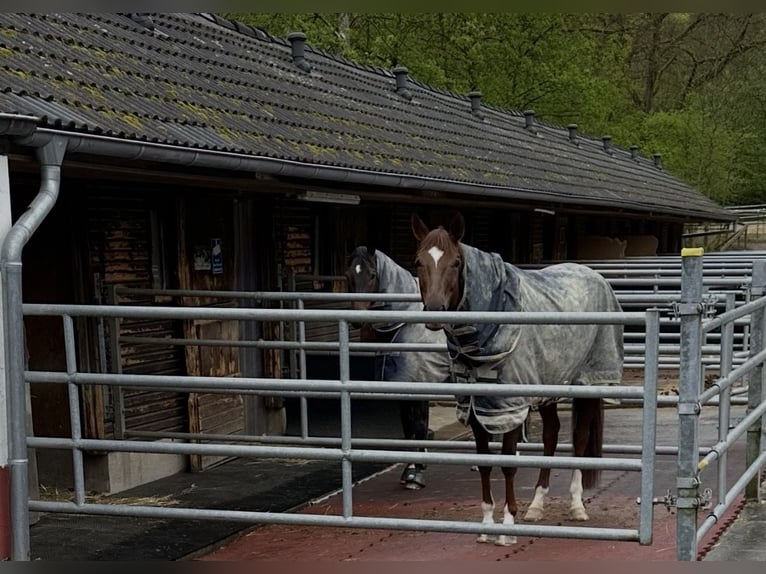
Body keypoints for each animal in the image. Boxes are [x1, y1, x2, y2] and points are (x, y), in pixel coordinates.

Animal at [344, 246, 451, 489]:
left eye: (372, 275)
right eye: (348, 275)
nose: (356, 318)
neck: (406, 322)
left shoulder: (420, 383)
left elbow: (419, 426)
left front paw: (415, 475)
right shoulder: (404, 387)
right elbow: (408, 428)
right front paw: (411, 468)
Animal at [411, 212, 623, 546]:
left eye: (456, 262)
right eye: (419, 262)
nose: (434, 310)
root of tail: (594, 275)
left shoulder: (508, 406)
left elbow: (508, 464)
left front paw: (507, 527)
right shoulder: (477, 407)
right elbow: (485, 464)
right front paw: (487, 524)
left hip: (589, 383)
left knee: (579, 438)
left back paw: (577, 506)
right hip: (549, 384)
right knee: (551, 434)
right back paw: (536, 506)